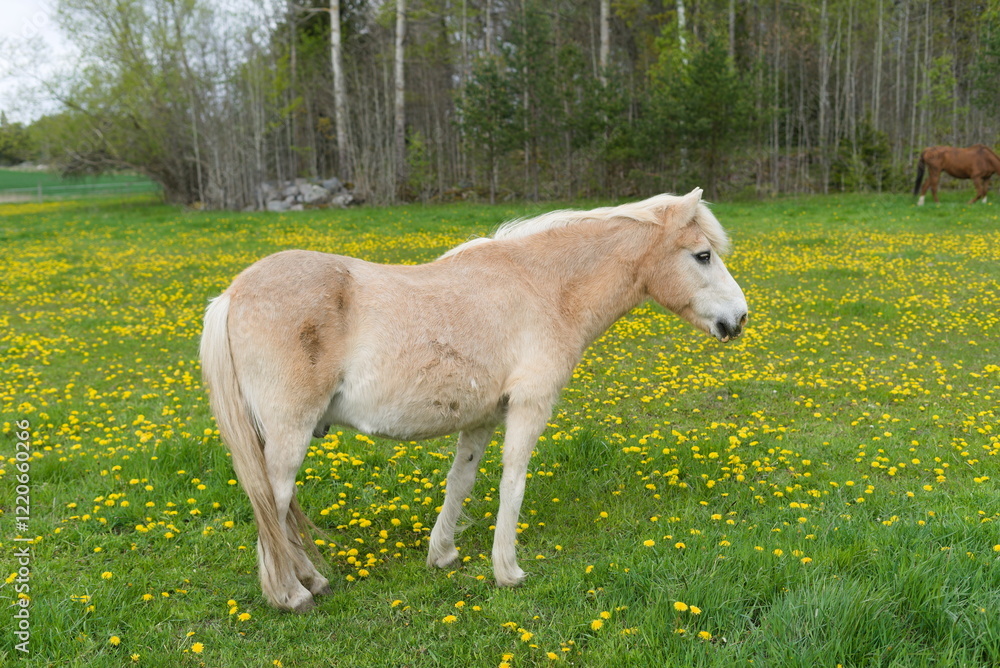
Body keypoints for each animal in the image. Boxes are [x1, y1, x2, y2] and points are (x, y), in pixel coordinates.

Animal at [201, 188, 744, 612]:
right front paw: (508, 570)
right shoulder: (529, 407)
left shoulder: (482, 418)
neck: (543, 288)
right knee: (273, 504)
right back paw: (291, 595)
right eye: (703, 255)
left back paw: (312, 580)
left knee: (279, 511)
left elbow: (459, 483)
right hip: (289, 433)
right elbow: (513, 484)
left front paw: (441, 554)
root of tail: (233, 293)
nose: (739, 318)